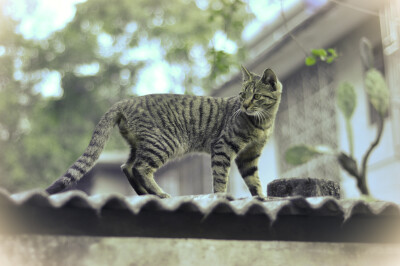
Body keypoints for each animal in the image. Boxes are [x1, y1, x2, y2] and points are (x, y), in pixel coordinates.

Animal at [46, 66, 282, 200]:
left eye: (256, 96)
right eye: (242, 94)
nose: (244, 105)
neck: (263, 121)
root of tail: (126, 101)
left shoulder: (249, 155)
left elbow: (254, 179)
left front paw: (261, 197)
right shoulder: (223, 147)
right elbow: (220, 177)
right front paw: (221, 195)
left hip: (142, 145)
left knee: (127, 167)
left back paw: (147, 194)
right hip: (164, 144)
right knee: (140, 168)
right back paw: (158, 192)